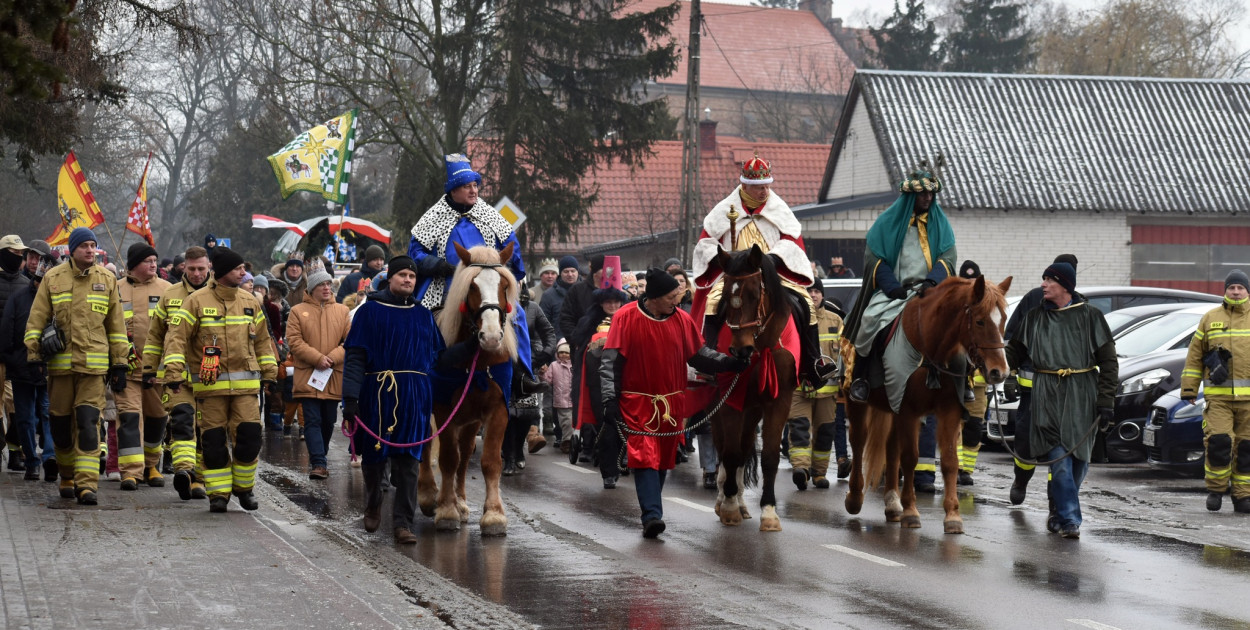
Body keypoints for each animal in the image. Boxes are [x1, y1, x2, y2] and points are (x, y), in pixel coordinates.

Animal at [417, 241, 520, 537]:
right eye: (472, 287)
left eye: (503, 285)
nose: (492, 336)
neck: (477, 358)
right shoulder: (443, 409)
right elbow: (448, 459)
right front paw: (445, 510)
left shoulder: (497, 410)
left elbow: (489, 461)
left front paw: (493, 515)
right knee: (427, 446)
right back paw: (429, 496)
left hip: (470, 420)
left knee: (465, 456)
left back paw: (461, 502)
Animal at [710, 246, 795, 532]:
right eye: (726, 296)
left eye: (755, 294)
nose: (740, 350)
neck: (761, 347)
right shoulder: (730, 400)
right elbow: (730, 453)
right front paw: (728, 508)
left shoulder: (778, 401)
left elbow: (768, 457)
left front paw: (768, 512)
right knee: (725, 448)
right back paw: (724, 499)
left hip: (753, 410)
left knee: (745, 446)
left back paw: (742, 503)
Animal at [840, 273, 1015, 535]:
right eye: (980, 321)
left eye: (1003, 320)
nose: (1000, 372)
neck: (932, 349)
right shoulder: (907, 411)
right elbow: (910, 458)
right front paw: (911, 511)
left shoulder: (949, 411)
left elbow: (950, 461)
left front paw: (953, 516)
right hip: (857, 401)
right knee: (859, 441)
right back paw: (855, 498)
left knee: (891, 449)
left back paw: (892, 503)